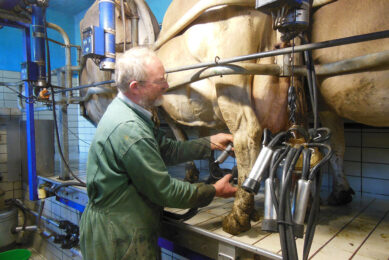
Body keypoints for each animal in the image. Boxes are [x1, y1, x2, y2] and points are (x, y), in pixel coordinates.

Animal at [80, 0, 388, 235]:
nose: (84, 108)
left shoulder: (166, 107)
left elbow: (179, 134)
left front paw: (198, 173)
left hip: (229, 74)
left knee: (246, 135)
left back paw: (240, 216)